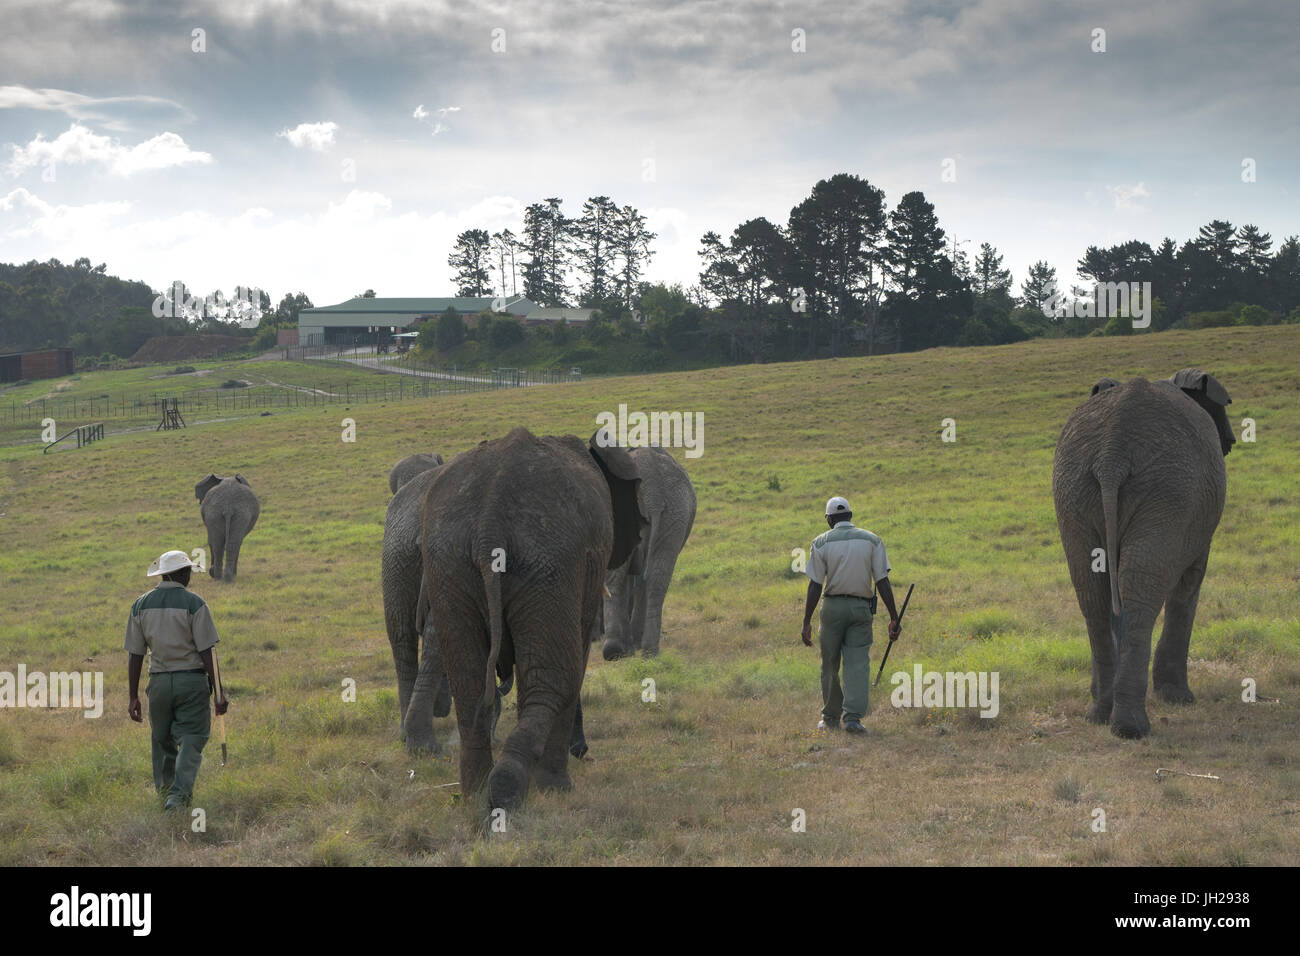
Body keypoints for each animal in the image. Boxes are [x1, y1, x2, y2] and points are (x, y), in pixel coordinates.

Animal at [418, 429, 642, 811]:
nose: (584, 753)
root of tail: (490, 523)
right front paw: (557, 789)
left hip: (449, 564)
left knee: (468, 680)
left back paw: (476, 793)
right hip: (548, 563)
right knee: (554, 678)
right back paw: (508, 792)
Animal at [600, 444, 696, 660]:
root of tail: (654, 491)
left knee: (622, 578)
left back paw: (617, 650)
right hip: (675, 512)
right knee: (657, 577)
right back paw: (648, 651)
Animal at [1050, 369, 1232, 738]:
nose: (1232, 441)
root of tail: (1112, 452)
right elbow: (1189, 583)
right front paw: (1178, 699)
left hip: (1073, 488)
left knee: (1092, 593)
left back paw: (1101, 714)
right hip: (1169, 491)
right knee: (1140, 592)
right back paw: (1131, 728)